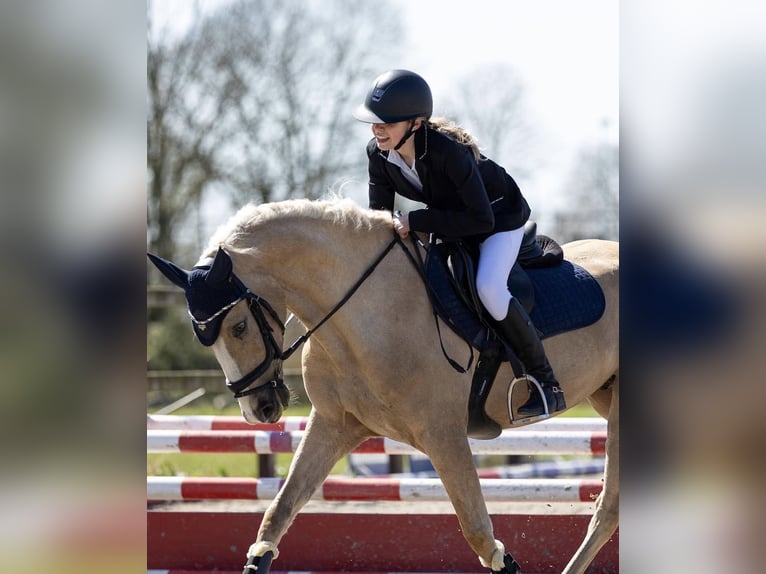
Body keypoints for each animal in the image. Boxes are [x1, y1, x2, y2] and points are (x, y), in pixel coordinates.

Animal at [148, 198, 619, 574]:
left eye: (240, 326)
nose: (259, 409)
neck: (361, 313)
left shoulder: (444, 436)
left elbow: (477, 531)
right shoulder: (334, 424)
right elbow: (278, 513)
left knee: (607, 506)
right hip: (604, 400)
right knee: (608, 508)